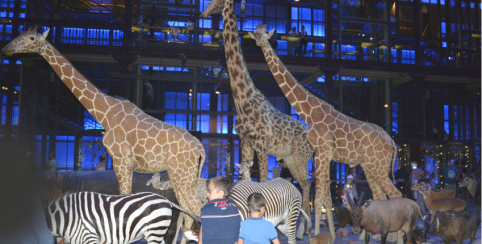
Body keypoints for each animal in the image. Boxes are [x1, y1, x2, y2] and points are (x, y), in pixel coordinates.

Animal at [1, 26, 205, 233]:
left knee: (195, 206)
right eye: (19, 35)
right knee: (188, 209)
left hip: (181, 174)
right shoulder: (125, 165)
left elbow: (124, 201)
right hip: (182, 176)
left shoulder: (121, 162)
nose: (7, 49)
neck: (105, 113)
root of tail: (199, 145)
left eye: (32, 38)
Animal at [199, 0, 312, 237]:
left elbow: (264, 180)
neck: (243, 99)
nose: (203, 12)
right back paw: (302, 230)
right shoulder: (245, 141)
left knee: (307, 184)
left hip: (301, 156)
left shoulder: (261, 144)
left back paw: (303, 231)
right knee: (305, 183)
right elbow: (246, 176)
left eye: (217, 1)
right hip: (289, 159)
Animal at [249, 23, 402, 243]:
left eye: (264, 34)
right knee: (381, 197)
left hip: (378, 167)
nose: (257, 40)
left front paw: (315, 233)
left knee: (397, 194)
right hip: (370, 167)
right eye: (256, 32)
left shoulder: (322, 153)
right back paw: (371, 234)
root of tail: (392, 141)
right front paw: (329, 233)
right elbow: (326, 195)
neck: (310, 112)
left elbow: (320, 195)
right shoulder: (324, 155)